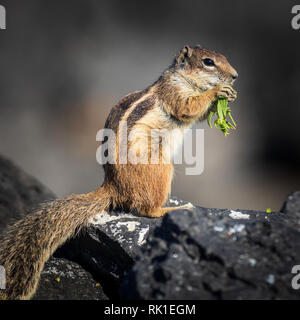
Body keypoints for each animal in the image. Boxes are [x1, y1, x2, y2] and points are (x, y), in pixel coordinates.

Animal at [0, 45, 239, 300]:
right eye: (208, 62)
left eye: (224, 57)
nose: (235, 76)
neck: (183, 78)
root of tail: (113, 187)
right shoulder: (174, 93)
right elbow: (188, 107)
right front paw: (217, 92)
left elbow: (198, 114)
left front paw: (230, 95)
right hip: (160, 169)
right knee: (147, 210)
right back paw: (174, 209)